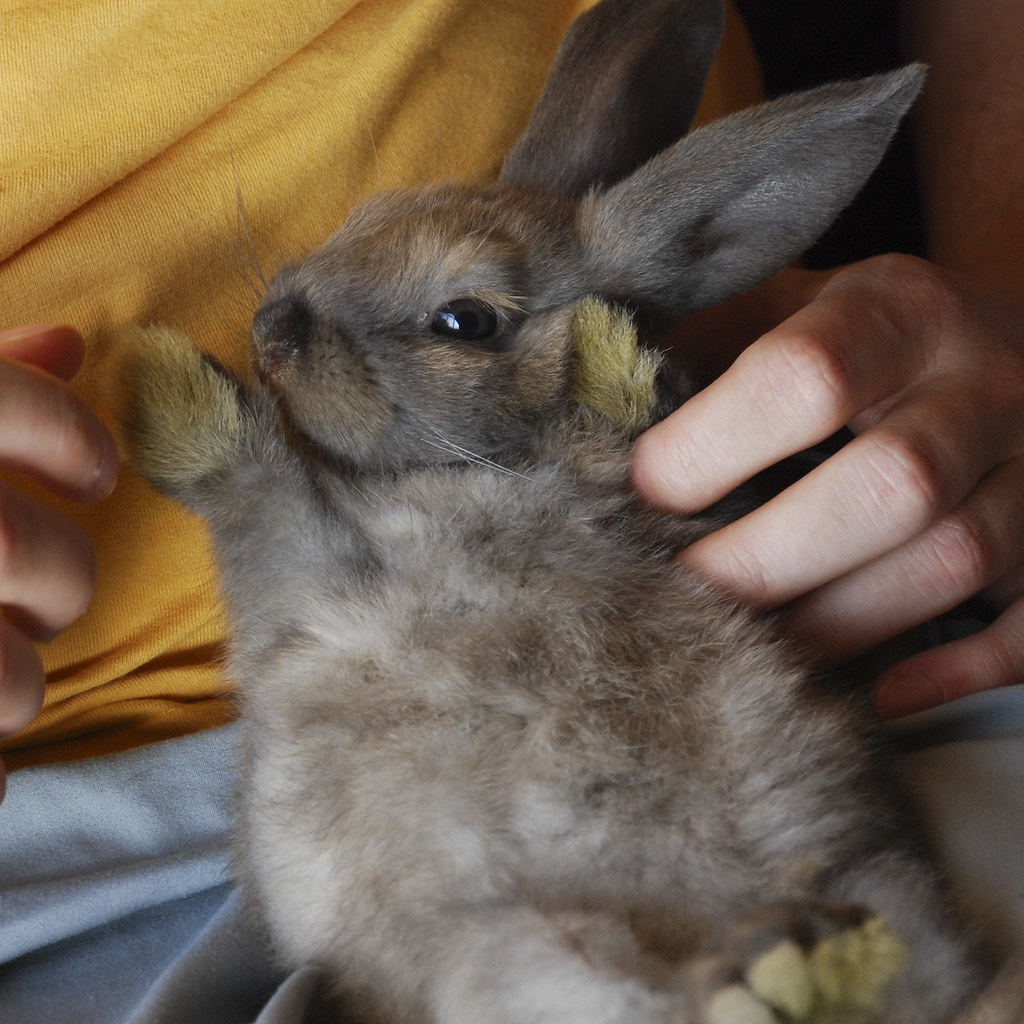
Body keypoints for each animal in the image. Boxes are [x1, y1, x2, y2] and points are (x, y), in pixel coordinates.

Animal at [116, 0, 1022, 1020]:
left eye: (465, 320)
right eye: (363, 217)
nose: (271, 332)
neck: (498, 469)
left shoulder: (312, 546)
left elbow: (253, 475)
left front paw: (605, 353)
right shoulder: (308, 561)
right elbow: (250, 471)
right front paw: (151, 367)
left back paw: (801, 963)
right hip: (504, 952)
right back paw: (798, 965)